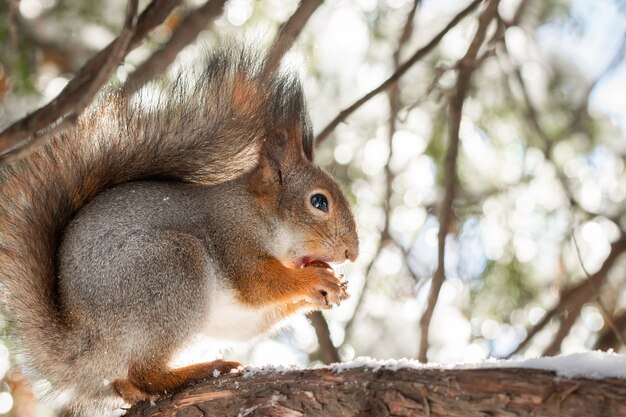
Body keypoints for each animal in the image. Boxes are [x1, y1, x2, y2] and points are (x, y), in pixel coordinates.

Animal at [0, 46, 356, 412]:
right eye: (318, 202)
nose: (352, 252)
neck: (259, 213)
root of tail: (84, 342)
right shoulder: (233, 236)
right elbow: (257, 283)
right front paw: (316, 280)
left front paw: (331, 288)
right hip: (171, 270)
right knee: (145, 373)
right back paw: (200, 370)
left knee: (127, 382)